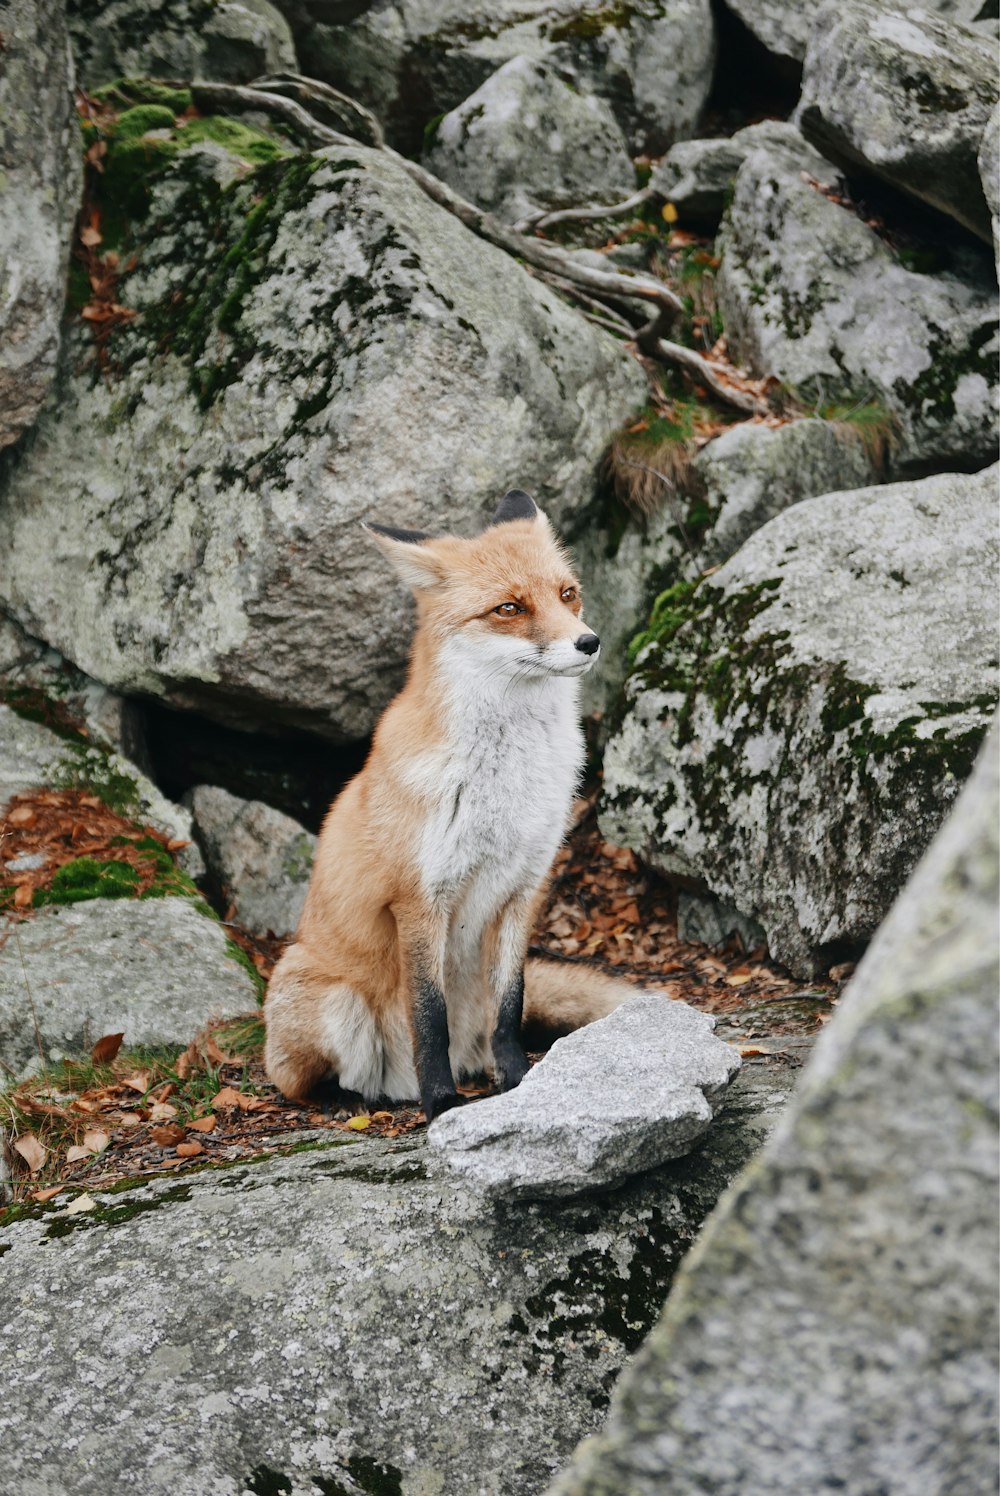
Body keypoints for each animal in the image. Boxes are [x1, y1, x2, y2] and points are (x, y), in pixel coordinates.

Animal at [261, 490, 637, 1124]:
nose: (589, 642)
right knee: (299, 1082)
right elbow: (428, 1018)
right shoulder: (419, 899)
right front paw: (440, 1105)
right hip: (333, 1001)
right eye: (509, 608)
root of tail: (391, 1088)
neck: (507, 784)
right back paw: (353, 1100)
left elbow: (510, 1007)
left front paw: (517, 1082)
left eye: (567, 593)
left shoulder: (523, 888)